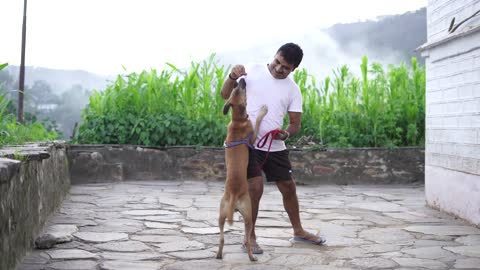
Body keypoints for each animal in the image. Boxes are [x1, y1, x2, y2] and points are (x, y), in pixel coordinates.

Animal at [217, 78, 268, 262]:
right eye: (240, 89)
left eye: (235, 89)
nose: (241, 79)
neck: (238, 120)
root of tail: (233, 195)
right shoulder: (252, 137)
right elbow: (258, 121)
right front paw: (262, 110)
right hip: (248, 213)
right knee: (247, 236)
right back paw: (252, 256)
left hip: (221, 214)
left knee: (222, 238)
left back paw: (218, 255)